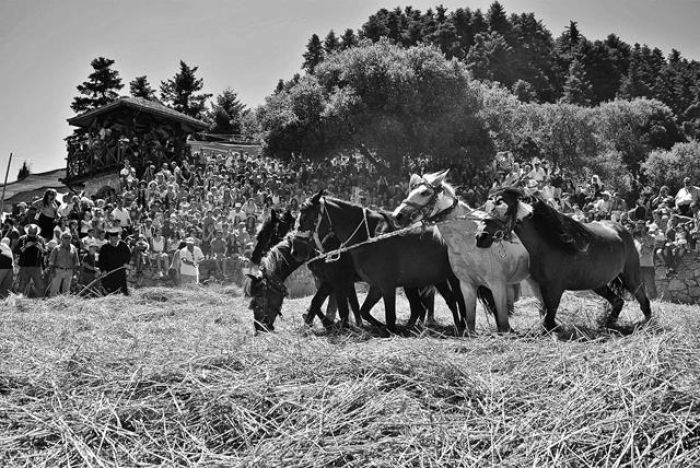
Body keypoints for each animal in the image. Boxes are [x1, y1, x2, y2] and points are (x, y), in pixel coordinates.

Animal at [292, 191, 482, 332]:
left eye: (306, 217)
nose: (296, 250)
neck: (370, 237)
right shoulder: (371, 285)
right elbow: (357, 309)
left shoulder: (377, 285)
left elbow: (382, 316)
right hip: (433, 279)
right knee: (438, 303)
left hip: (452, 279)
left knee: (456, 301)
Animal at [394, 170, 536, 334]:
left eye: (424, 192)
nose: (397, 216)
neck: (469, 242)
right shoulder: (467, 285)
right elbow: (470, 319)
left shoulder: (497, 284)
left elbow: (501, 319)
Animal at [482, 186, 652, 330]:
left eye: (500, 207)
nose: (481, 236)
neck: (549, 243)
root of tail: (620, 229)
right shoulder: (538, 286)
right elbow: (545, 313)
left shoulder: (555, 289)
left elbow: (549, 316)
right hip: (598, 282)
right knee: (618, 301)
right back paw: (608, 323)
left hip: (631, 276)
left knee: (643, 300)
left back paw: (647, 324)